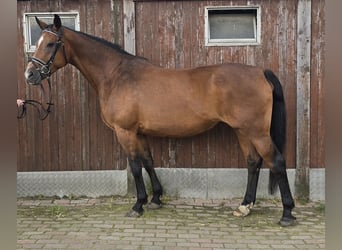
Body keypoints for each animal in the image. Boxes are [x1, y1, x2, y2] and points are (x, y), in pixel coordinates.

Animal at [24, 15, 296, 227]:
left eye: (50, 43)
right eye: (37, 41)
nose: (30, 74)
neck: (117, 75)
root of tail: (260, 72)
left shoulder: (125, 131)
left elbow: (135, 166)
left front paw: (138, 205)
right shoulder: (140, 132)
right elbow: (148, 161)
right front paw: (155, 199)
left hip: (256, 132)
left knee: (276, 162)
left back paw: (287, 214)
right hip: (242, 131)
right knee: (253, 163)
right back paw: (244, 206)